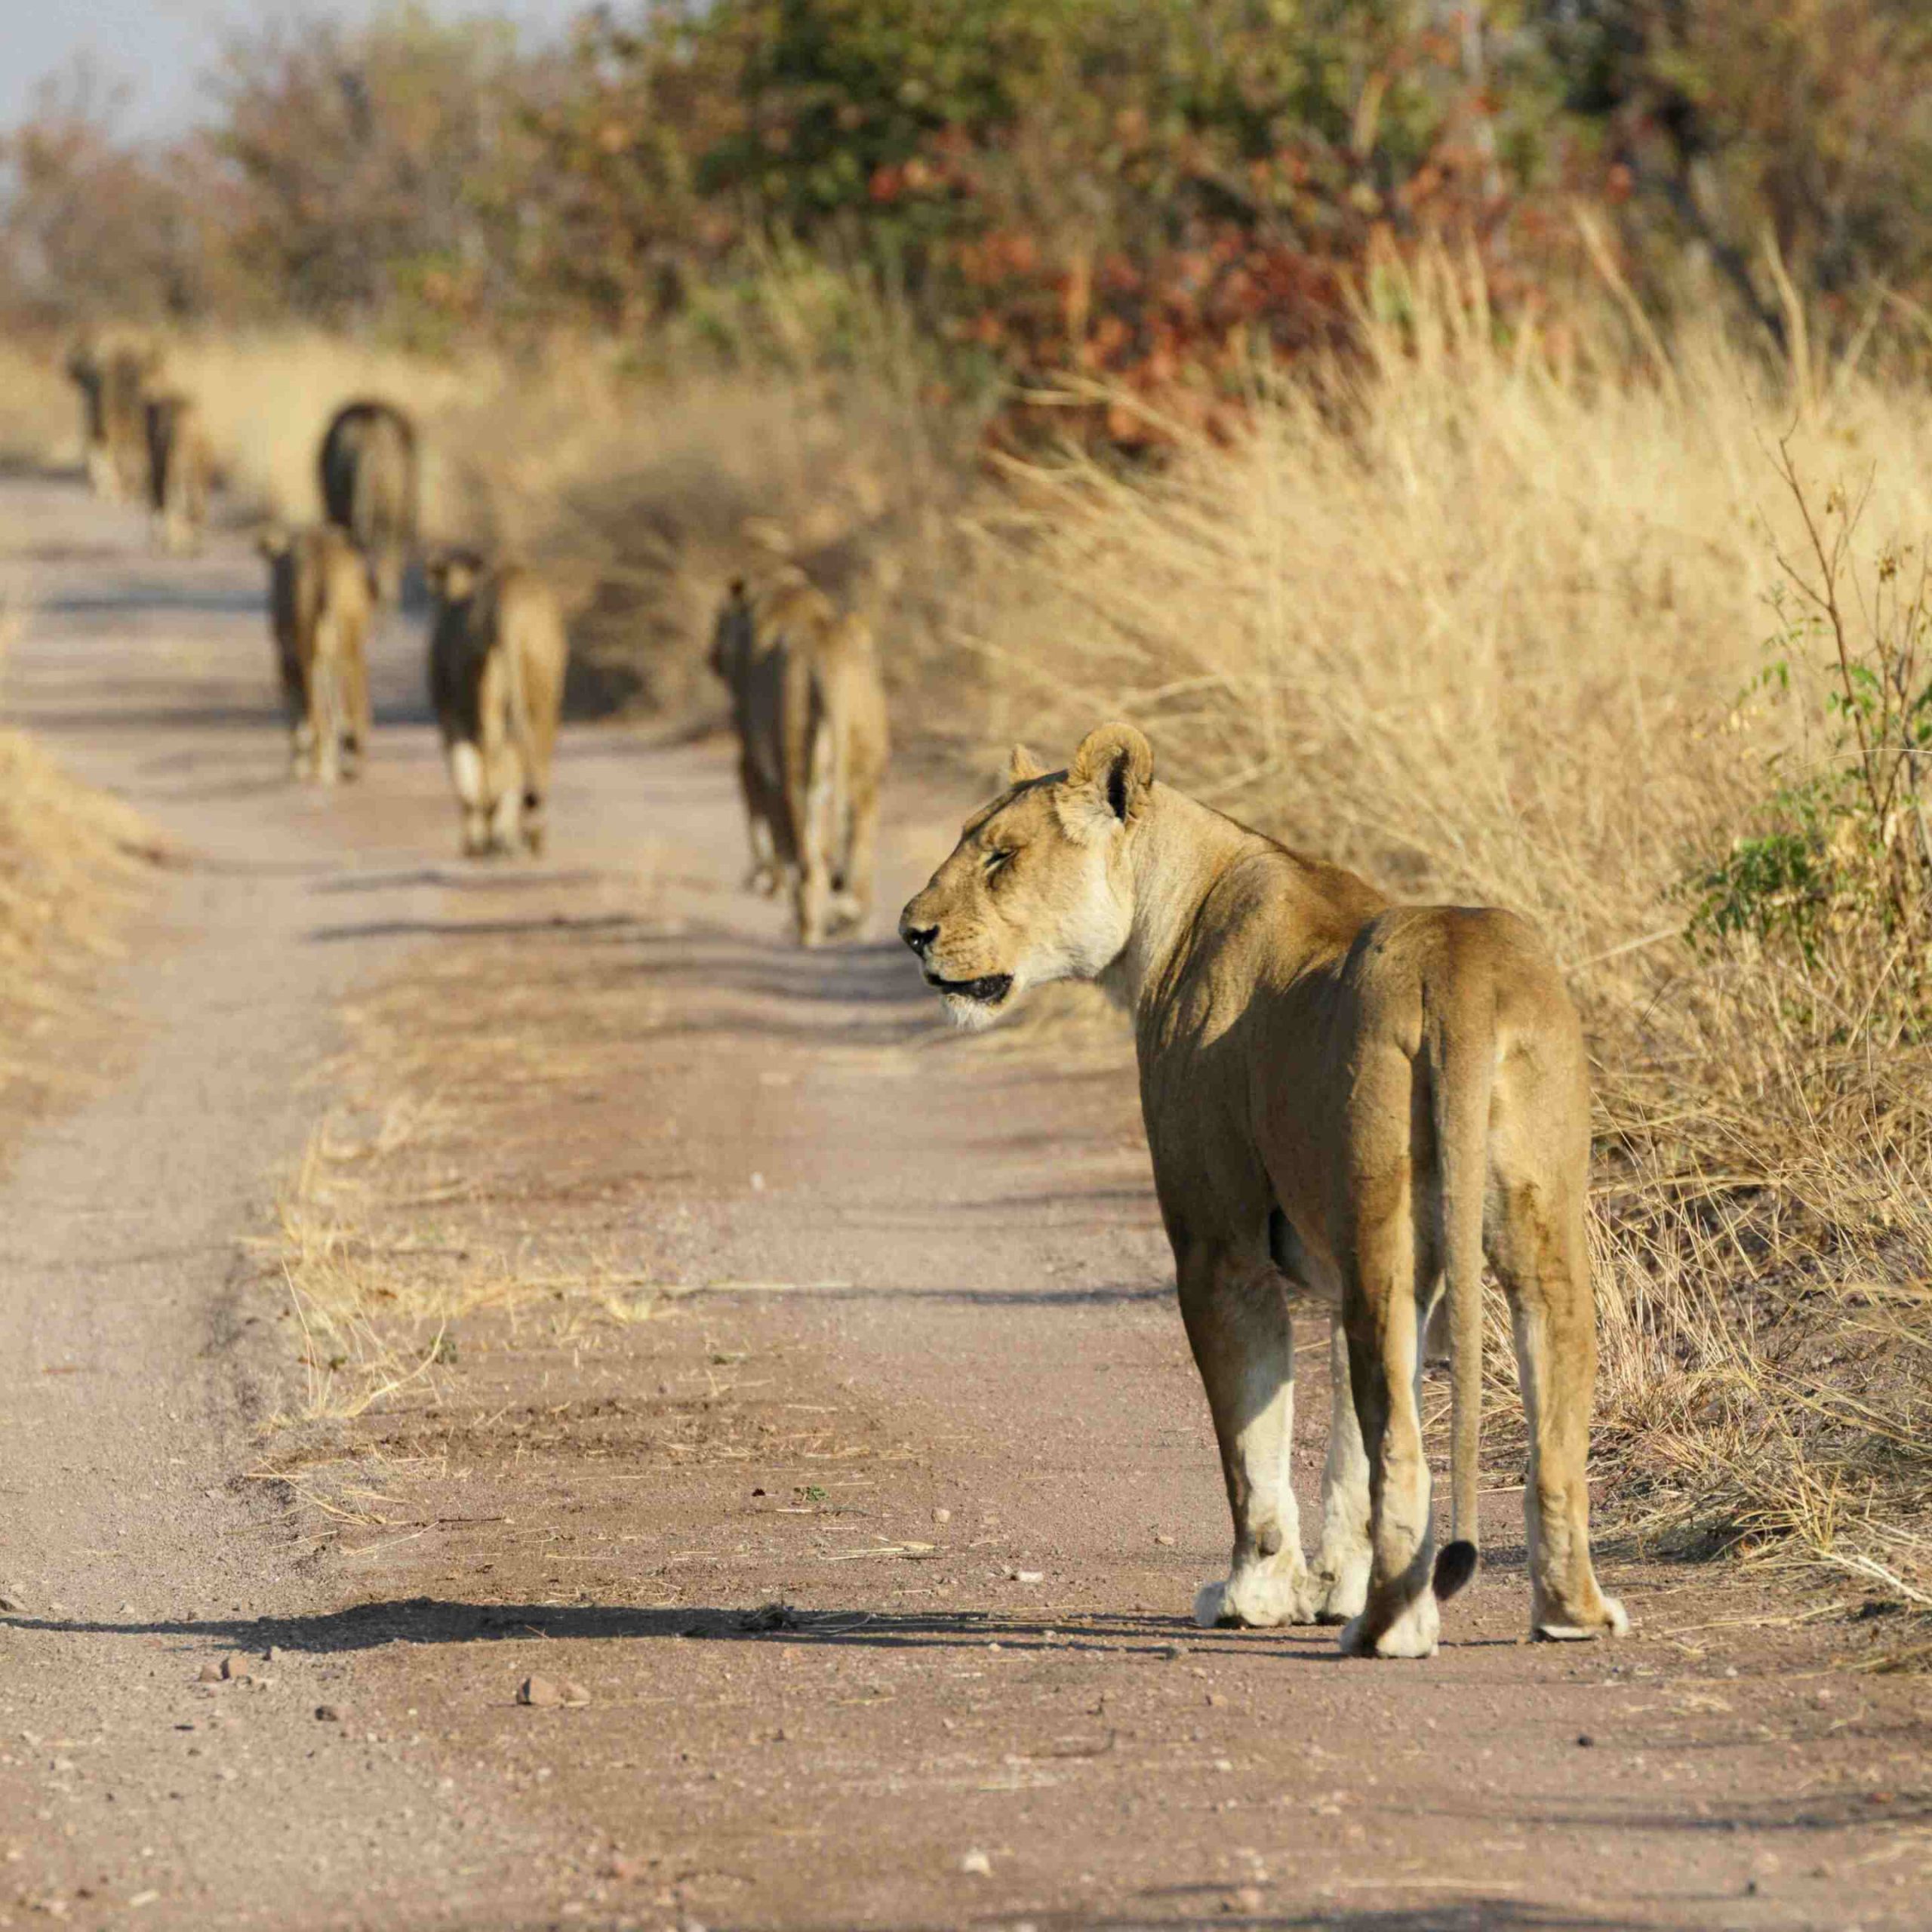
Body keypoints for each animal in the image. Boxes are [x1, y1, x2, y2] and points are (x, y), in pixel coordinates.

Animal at [256, 524, 374, 785]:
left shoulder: (288, 659)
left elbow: (297, 711)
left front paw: (300, 764)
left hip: (312, 651)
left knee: (319, 712)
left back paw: (322, 767)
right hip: (344, 648)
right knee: (348, 703)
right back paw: (345, 764)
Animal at [425, 550, 567, 857]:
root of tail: (505, 599)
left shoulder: (450, 713)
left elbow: (465, 771)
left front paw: (476, 839)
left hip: (491, 688)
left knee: (500, 752)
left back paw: (501, 836)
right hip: (540, 681)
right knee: (531, 751)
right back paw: (530, 833)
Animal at [708, 564, 889, 945]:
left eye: (718, 620)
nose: (712, 656)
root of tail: (826, 654)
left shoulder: (752, 758)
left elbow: (763, 822)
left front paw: (763, 881)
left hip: (791, 761)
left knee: (806, 856)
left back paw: (807, 926)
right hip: (866, 762)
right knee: (858, 846)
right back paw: (855, 921)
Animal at [899, 723, 1628, 1658]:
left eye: (1001, 856)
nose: (911, 932)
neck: (1168, 904)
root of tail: (1458, 970)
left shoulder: (1218, 1247)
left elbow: (1252, 1441)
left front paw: (1254, 1594)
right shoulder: (1358, 1270)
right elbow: (1344, 1454)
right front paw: (1330, 1586)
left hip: (1383, 1234)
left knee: (1403, 1449)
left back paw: (1386, 1628)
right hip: (1536, 1236)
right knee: (1550, 1433)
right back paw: (1569, 1612)